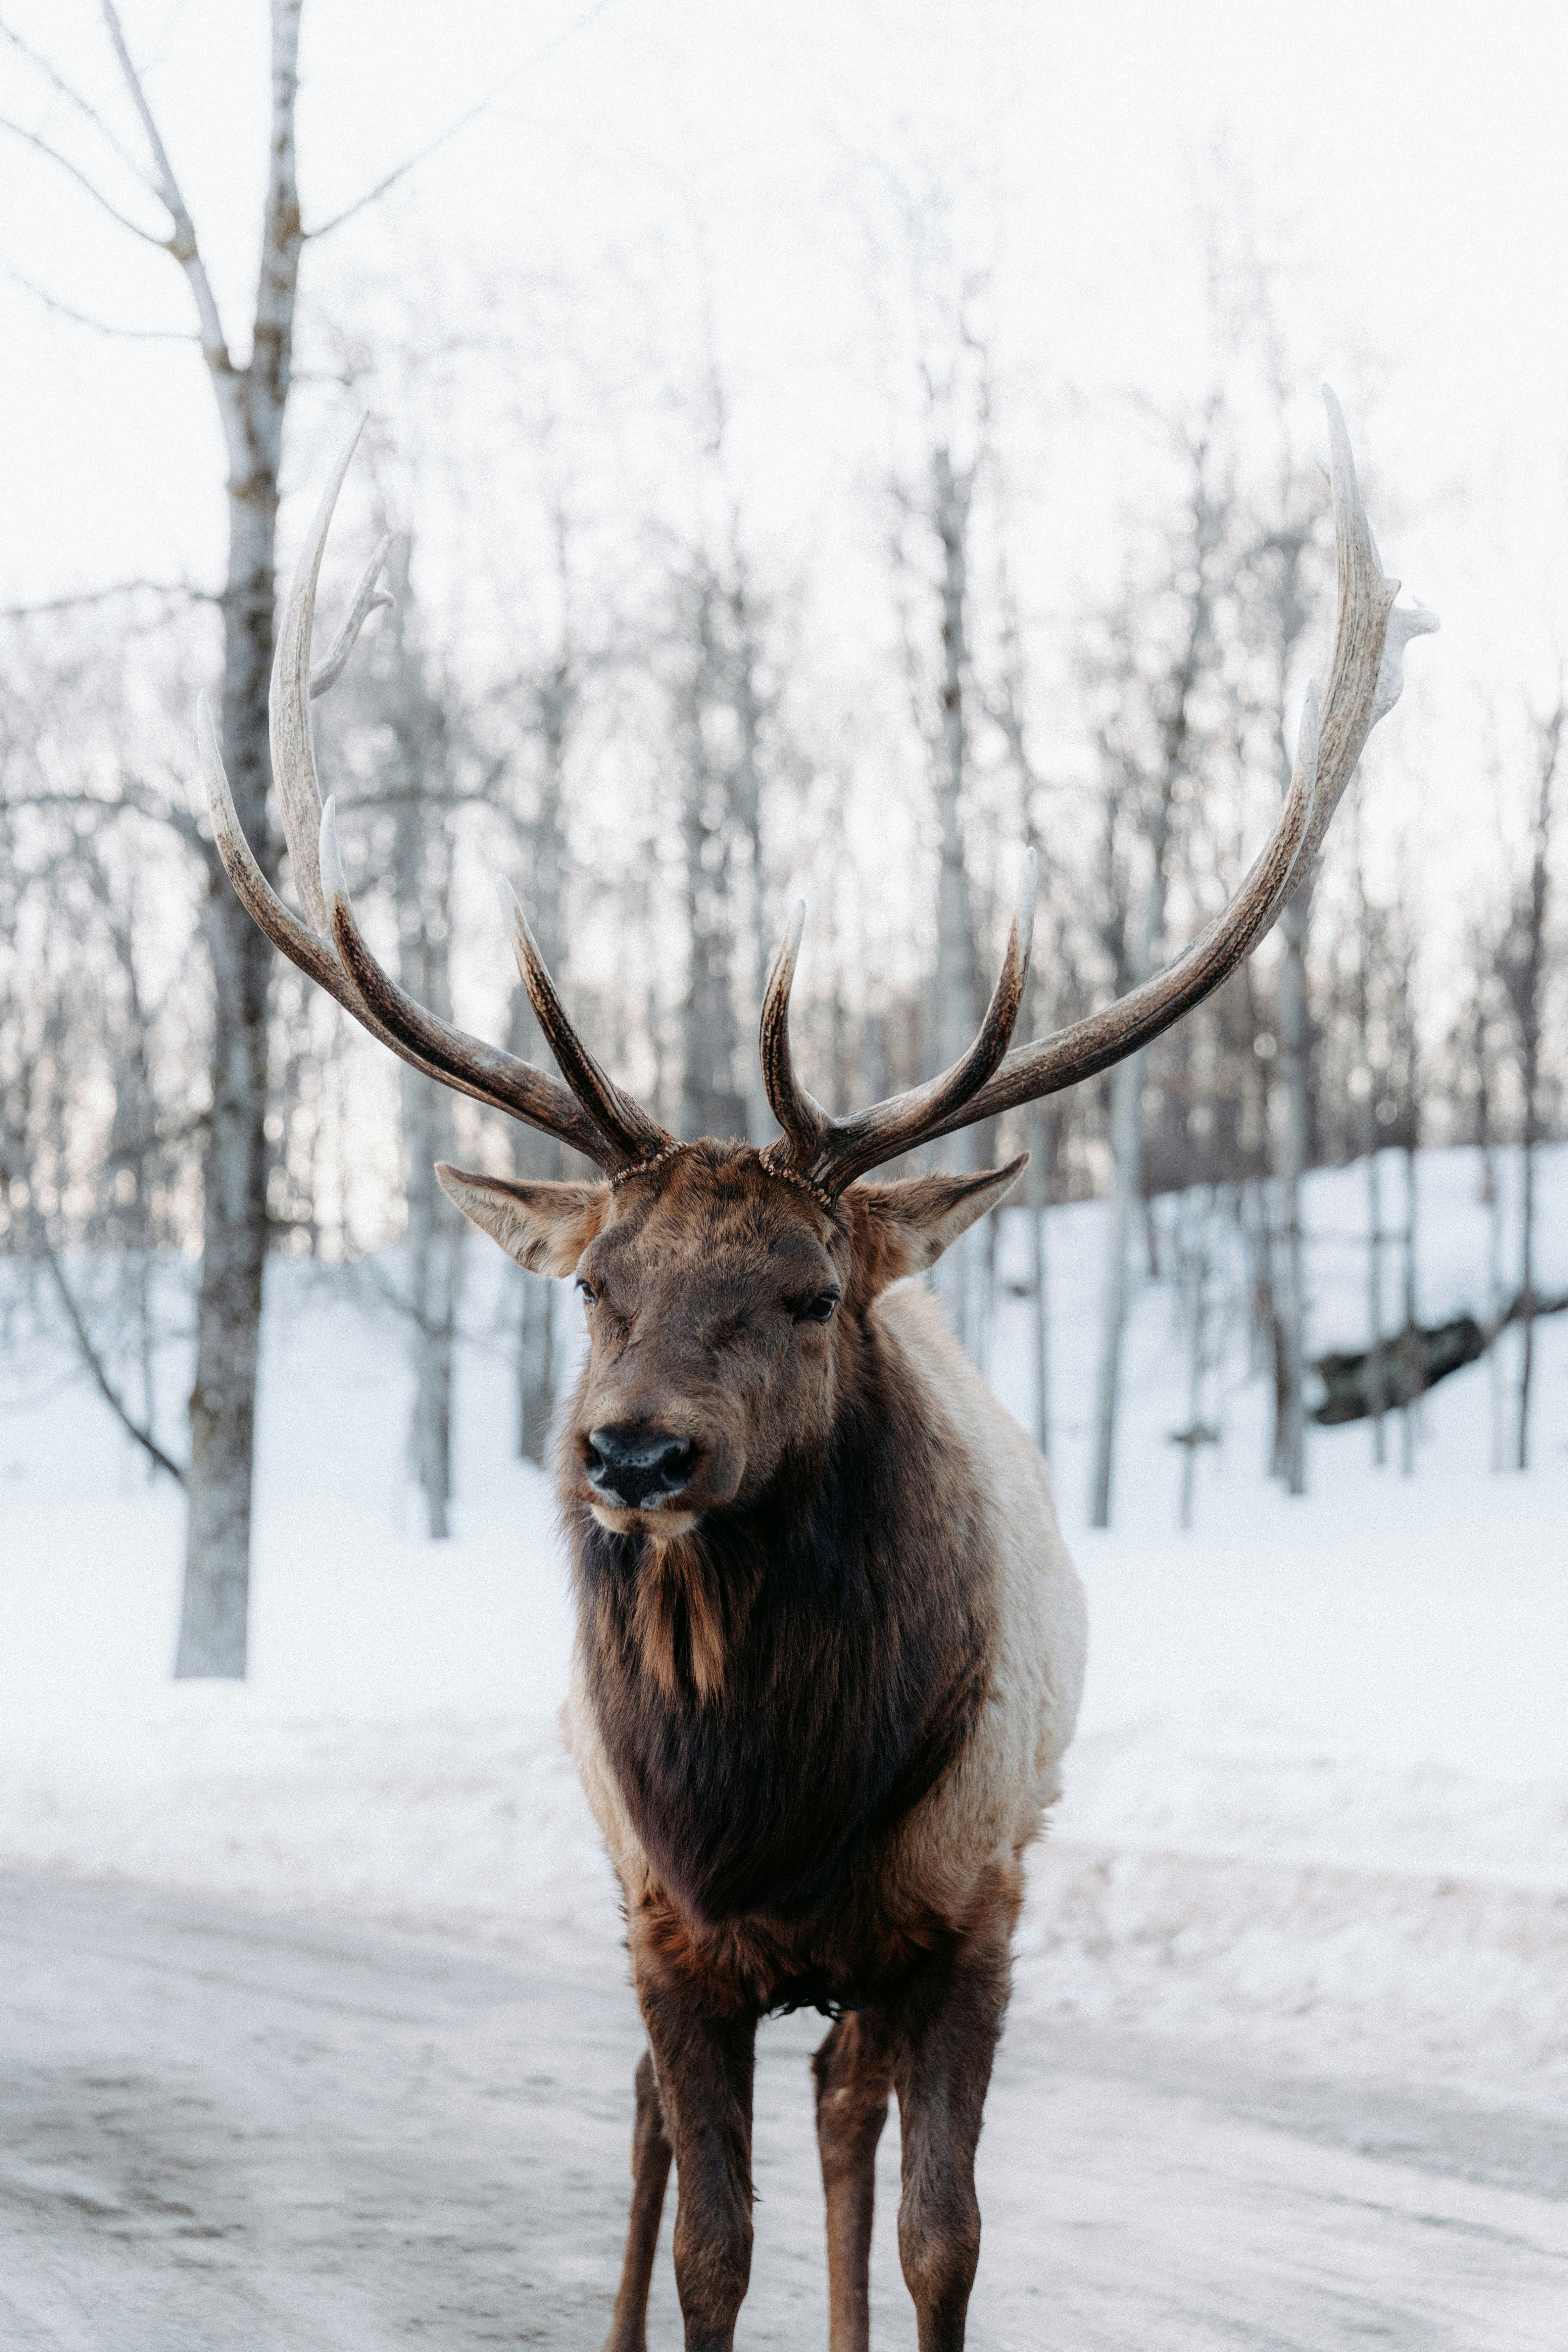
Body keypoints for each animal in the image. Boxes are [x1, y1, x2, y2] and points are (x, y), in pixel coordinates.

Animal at [195, 387, 1431, 2352]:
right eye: (598, 1285)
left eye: (806, 1294)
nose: (631, 1456)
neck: (774, 1806)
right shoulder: (665, 1922)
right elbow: (710, 2236)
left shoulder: (974, 1909)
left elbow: (941, 2236)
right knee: (651, 2124)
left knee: (848, 2112)